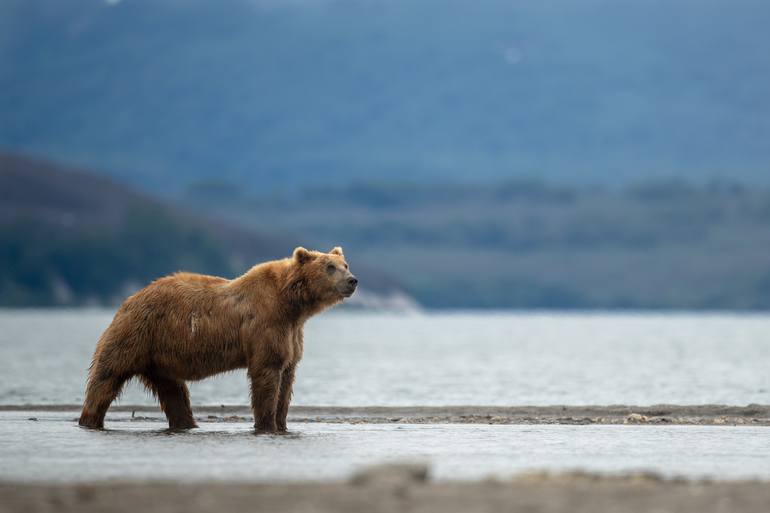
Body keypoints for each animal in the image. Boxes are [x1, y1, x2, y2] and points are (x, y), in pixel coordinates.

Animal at [78, 246, 354, 430]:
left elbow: (287, 378)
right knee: (106, 377)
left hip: (159, 357)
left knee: (173, 392)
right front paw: (266, 424)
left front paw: (281, 422)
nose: (352, 280)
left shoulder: (292, 333)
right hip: (136, 336)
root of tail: (128, 300)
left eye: (345, 264)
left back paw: (186, 423)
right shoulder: (266, 325)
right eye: (330, 267)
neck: (292, 304)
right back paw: (89, 419)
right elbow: (267, 375)